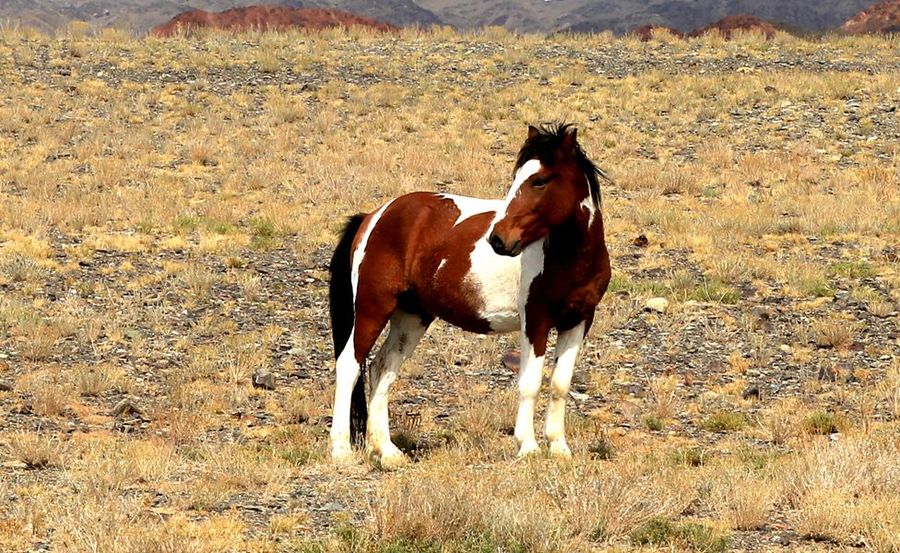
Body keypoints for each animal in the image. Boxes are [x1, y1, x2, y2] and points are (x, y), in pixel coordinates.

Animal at [328, 122, 612, 466]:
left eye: (540, 180)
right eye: (516, 178)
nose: (499, 240)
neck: (569, 258)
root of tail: (374, 216)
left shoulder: (579, 319)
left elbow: (560, 383)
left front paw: (559, 448)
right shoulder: (536, 320)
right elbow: (530, 383)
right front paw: (528, 447)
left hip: (412, 316)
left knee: (382, 368)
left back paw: (387, 451)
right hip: (373, 307)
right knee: (349, 365)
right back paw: (341, 450)